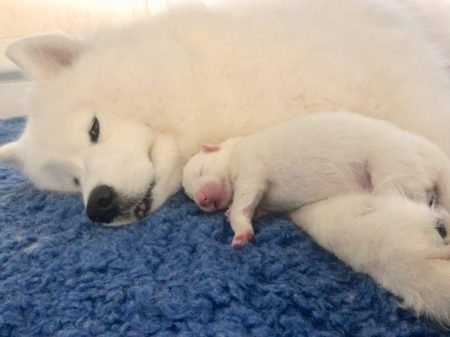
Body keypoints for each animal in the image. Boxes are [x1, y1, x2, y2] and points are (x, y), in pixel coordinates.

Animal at [181, 111, 450, 245]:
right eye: (191, 196)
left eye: (200, 171)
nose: (203, 200)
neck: (234, 151)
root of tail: (435, 155)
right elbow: (254, 207)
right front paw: (244, 213)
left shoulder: (250, 172)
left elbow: (242, 204)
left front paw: (240, 231)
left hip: (393, 167)